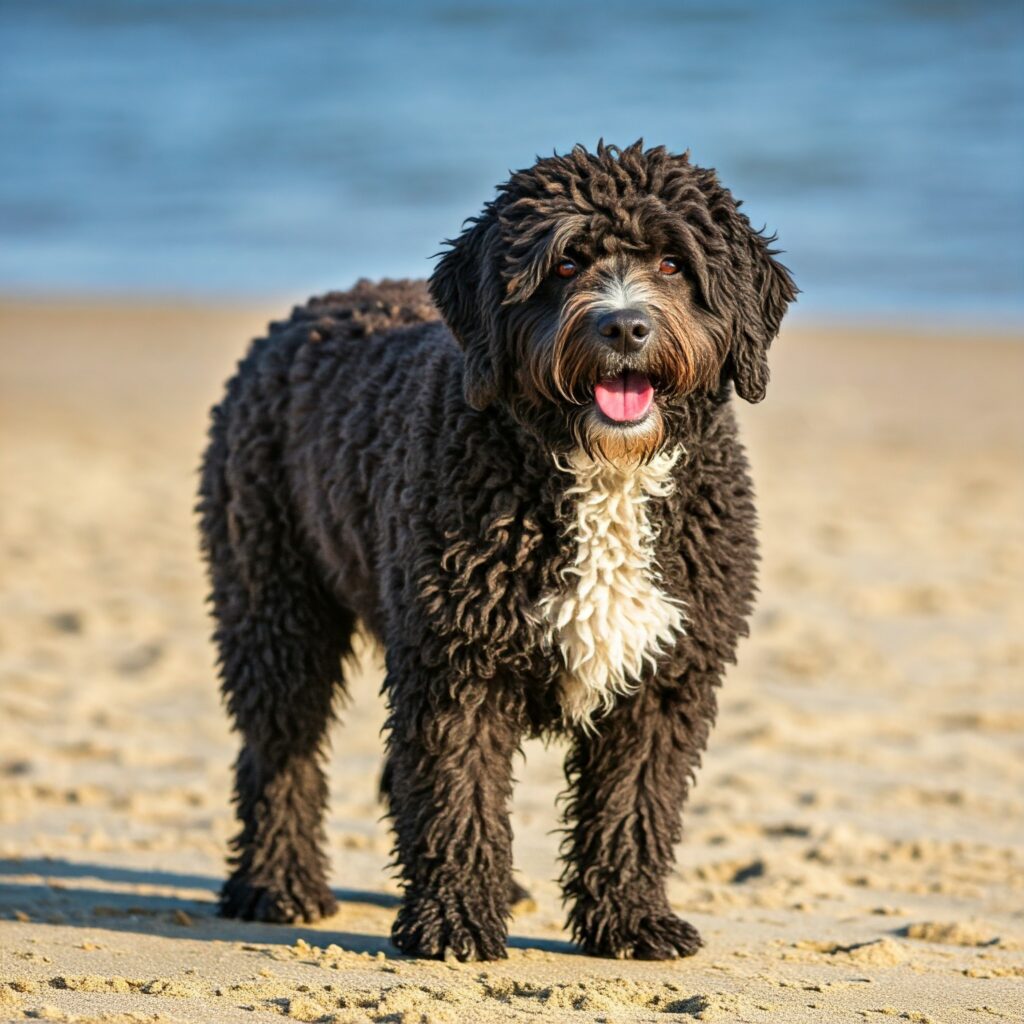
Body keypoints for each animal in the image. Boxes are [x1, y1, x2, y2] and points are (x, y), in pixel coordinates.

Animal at [197, 142, 790, 958]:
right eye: (567, 263)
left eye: (673, 262)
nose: (625, 327)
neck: (602, 477)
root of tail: (301, 314)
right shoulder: (459, 666)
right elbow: (458, 797)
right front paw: (453, 923)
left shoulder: (664, 677)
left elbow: (632, 808)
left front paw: (632, 922)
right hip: (274, 606)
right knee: (279, 752)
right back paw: (276, 885)